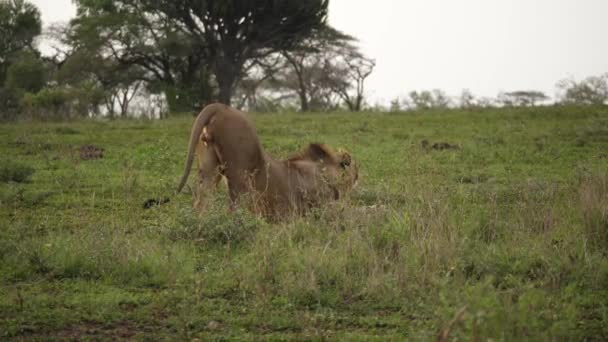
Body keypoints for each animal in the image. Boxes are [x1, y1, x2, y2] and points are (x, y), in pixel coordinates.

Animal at [175, 103, 356, 220]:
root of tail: (219, 106)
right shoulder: (323, 204)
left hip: (209, 170)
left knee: (201, 202)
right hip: (240, 177)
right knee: (234, 207)